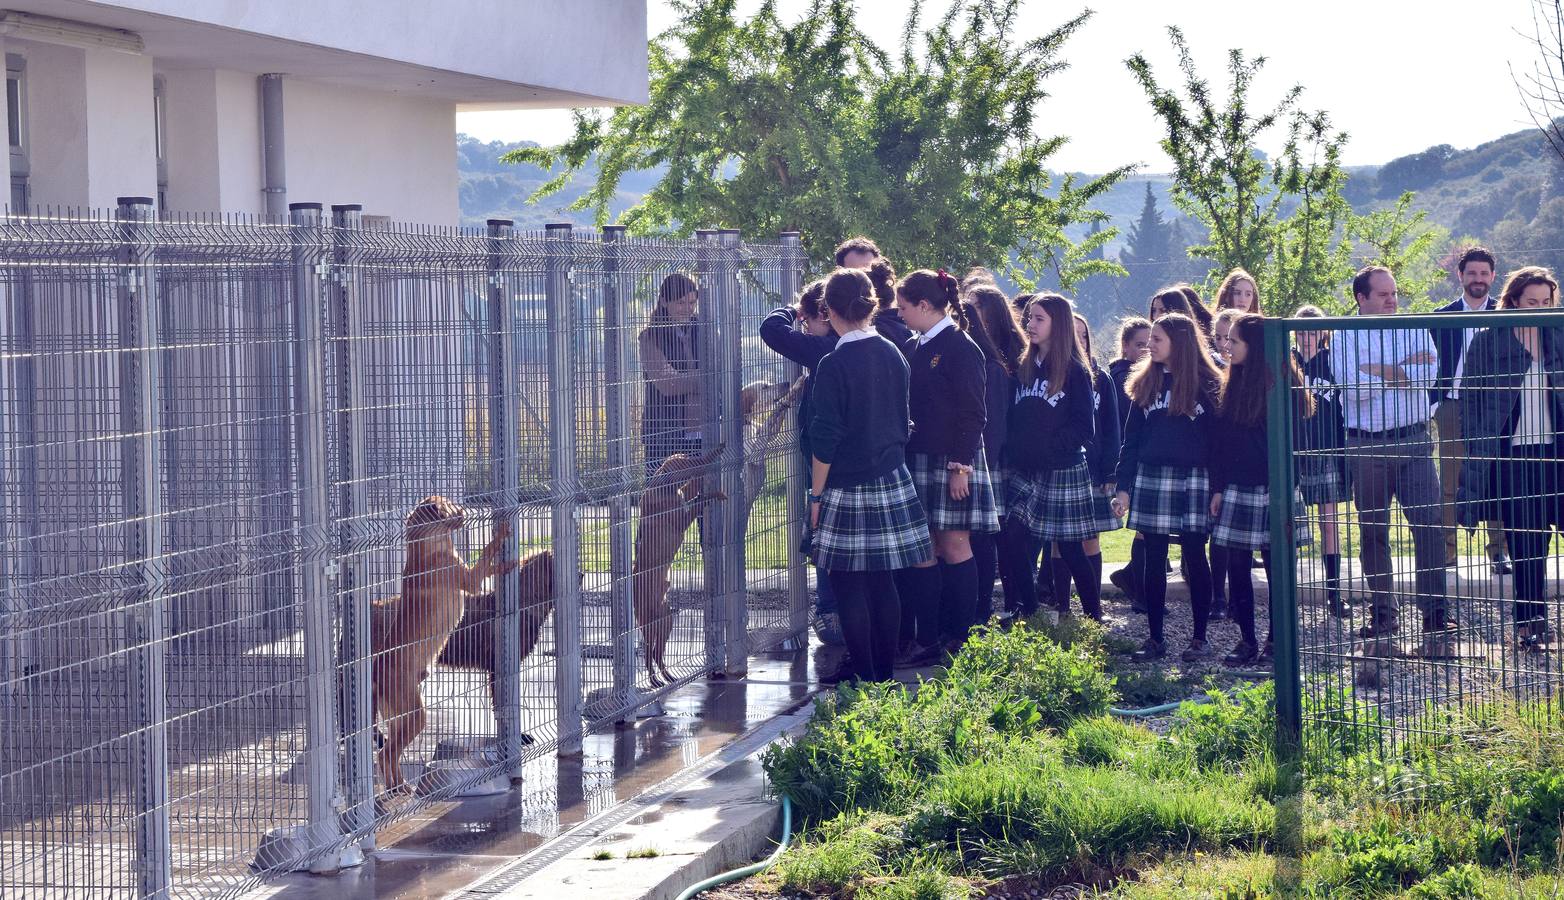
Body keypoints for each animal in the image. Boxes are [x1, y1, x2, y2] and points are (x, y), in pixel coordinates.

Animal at [370, 497, 512, 792]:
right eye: (450, 505)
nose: (466, 510)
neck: (427, 543)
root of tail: (376, 669)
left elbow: (489, 564)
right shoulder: (470, 579)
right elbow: (486, 555)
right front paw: (501, 537)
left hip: (399, 716)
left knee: (389, 753)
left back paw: (397, 787)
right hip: (415, 714)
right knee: (386, 753)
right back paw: (399, 788)